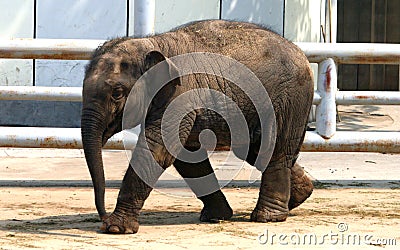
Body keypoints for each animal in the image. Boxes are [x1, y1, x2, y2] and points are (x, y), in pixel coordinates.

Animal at [80, 20, 312, 234]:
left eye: (117, 93)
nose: (103, 215)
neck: (153, 43)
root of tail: (300, 52)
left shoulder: (181, 95)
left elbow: (159, 149)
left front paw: (116, 228)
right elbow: (187, 158)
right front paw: (216, 217)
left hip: (288, 101)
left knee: (273, 150)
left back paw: (268, 217)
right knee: (256, 151)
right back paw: (298, 197)